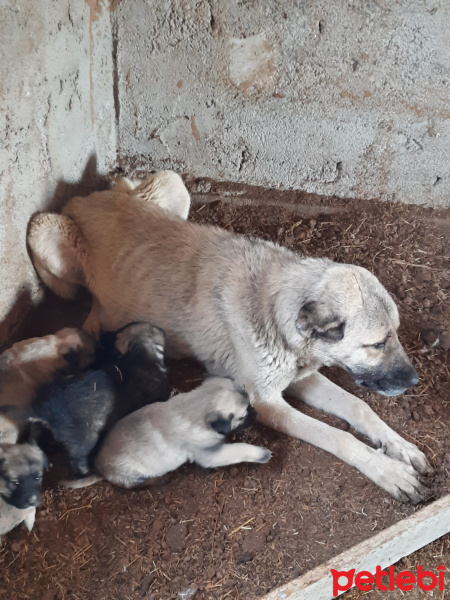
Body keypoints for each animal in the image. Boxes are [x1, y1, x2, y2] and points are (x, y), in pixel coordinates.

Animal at [65, 378, 272, 490]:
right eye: (244, 414)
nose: (256, 413)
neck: (196, 407)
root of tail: (99, 468)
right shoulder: (209, 454)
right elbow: (238, 450)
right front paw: (260, 453)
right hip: (133, 474)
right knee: (137, 485)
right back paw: (159, 480)